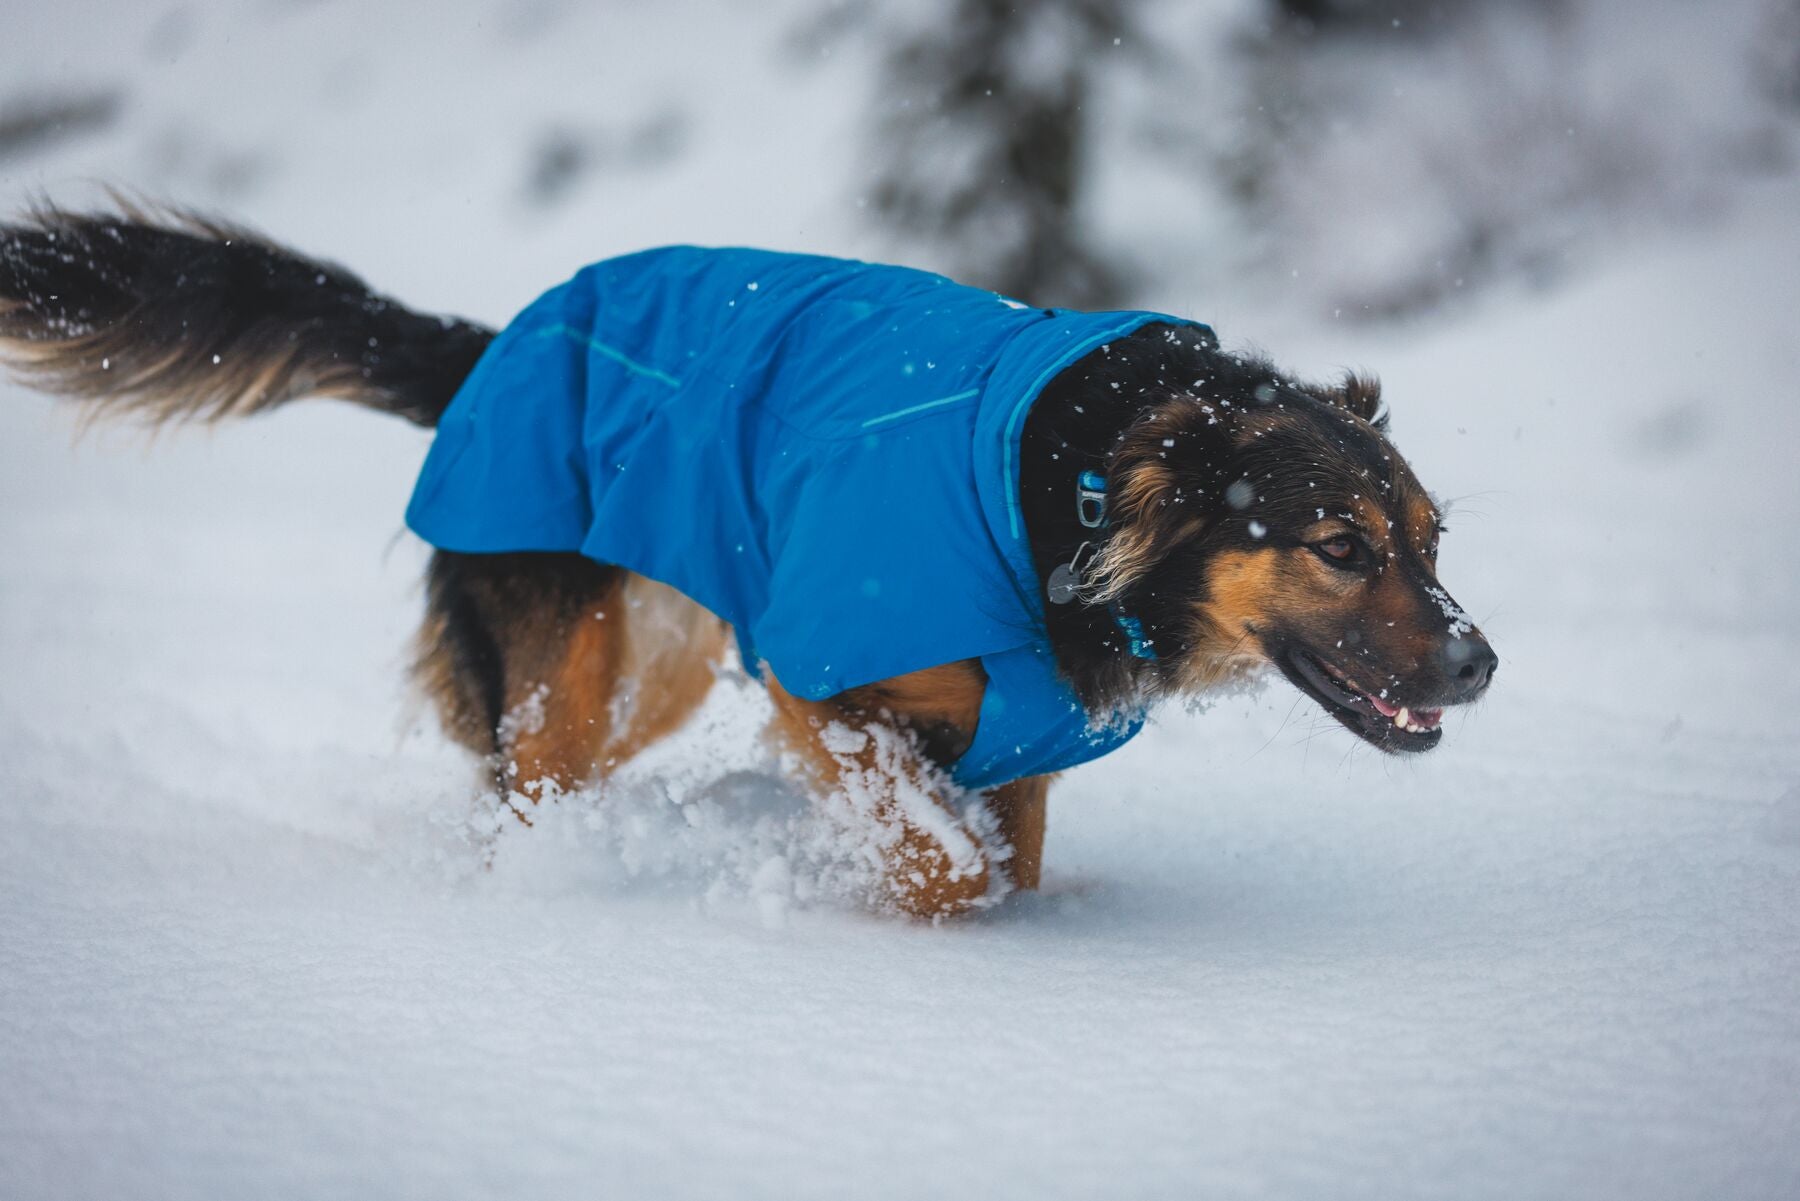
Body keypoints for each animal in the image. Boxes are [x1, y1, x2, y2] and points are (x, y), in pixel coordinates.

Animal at [0, 207, 1490, 921]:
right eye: (1340, 546)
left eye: (1430, 542)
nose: (1479, 662)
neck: (1061, 498)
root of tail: (492, 347)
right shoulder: (826, 677)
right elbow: (946, 866)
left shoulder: (1020, 744)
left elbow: (1007, 862)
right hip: (567, 670)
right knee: (523, 793)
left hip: (647, 665)